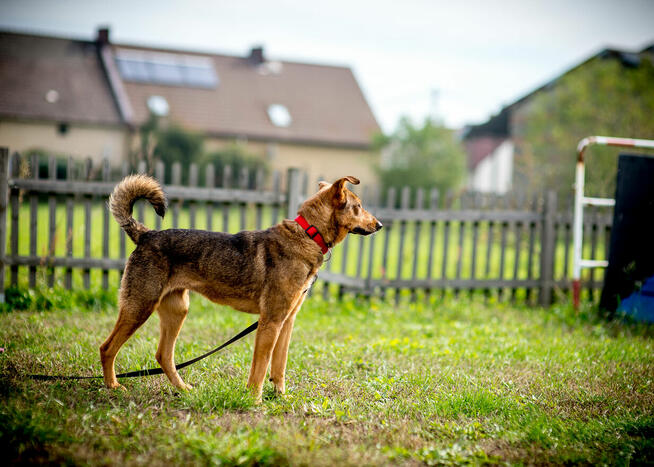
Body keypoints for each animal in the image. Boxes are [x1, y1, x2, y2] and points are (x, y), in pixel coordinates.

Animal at [100, 174, 382, 400]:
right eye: (358, 207)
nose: (379, 225)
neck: (309, 234)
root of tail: (146, 234)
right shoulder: (271, 321)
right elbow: (261, 367)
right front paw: (255, 400)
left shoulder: (287, 321)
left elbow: (279, 366)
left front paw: (281, 397)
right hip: (140, 307)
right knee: (107, 348)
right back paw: (113, 386)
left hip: (177, 310)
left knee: (164, 356)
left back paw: (183, 389)